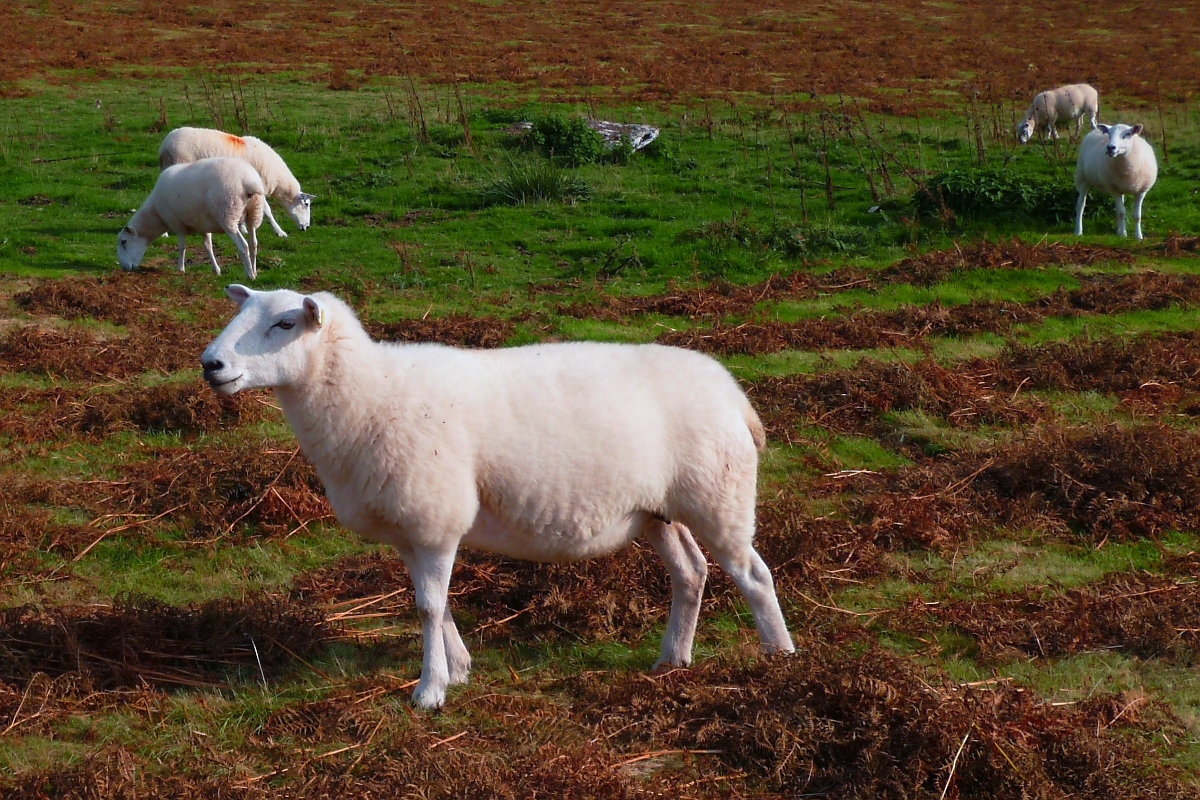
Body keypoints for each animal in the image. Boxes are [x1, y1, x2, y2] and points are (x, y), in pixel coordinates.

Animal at [117, 158, 265, 280]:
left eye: (124, 242)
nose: (124, 268)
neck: (156, 214)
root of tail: (249, 181)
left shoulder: (177, 223)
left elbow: (182, 247)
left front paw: (180, 268)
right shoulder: (203, 224)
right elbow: (208, 246)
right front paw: (216, 270)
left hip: (228, 215)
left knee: (243, 245)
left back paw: (249, 274)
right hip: (254, 213)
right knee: (254, 243)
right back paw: (255, 271)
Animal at [159, 126, 314, 236]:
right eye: (306, 204)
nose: (306, 227)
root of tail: (165, 145)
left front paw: (243, 228)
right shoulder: (260, 188)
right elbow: (268, 211)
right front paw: (279, 231)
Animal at [199, 286, 796, 705]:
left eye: (284, 324)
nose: (211, 364)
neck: (368, 394)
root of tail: (733, 394)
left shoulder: (435, 518)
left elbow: (428, 606)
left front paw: (430, 690)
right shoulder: (414, 528)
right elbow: (435, 605)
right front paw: (458, 669)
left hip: (719, 494)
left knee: (754, 575)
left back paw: (779, 657)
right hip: (658, 512)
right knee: (691, 573)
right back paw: (673, 660)